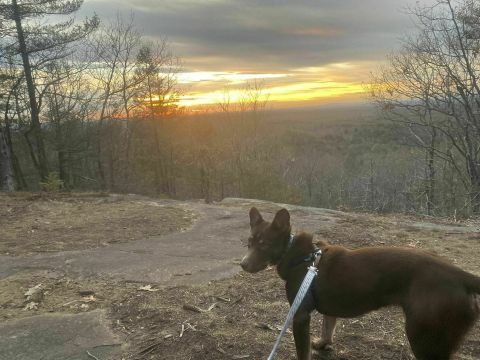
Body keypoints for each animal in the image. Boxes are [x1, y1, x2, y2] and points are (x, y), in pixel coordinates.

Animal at [242, 207, 480, 358]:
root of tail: (461, 276)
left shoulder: (300, 315)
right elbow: (328, 326)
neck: (300, 256)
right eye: (249, 243)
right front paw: (323, 344)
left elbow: (303, 352)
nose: (243, 264)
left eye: (264, 245)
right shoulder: (328, 308)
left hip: (423, 336)